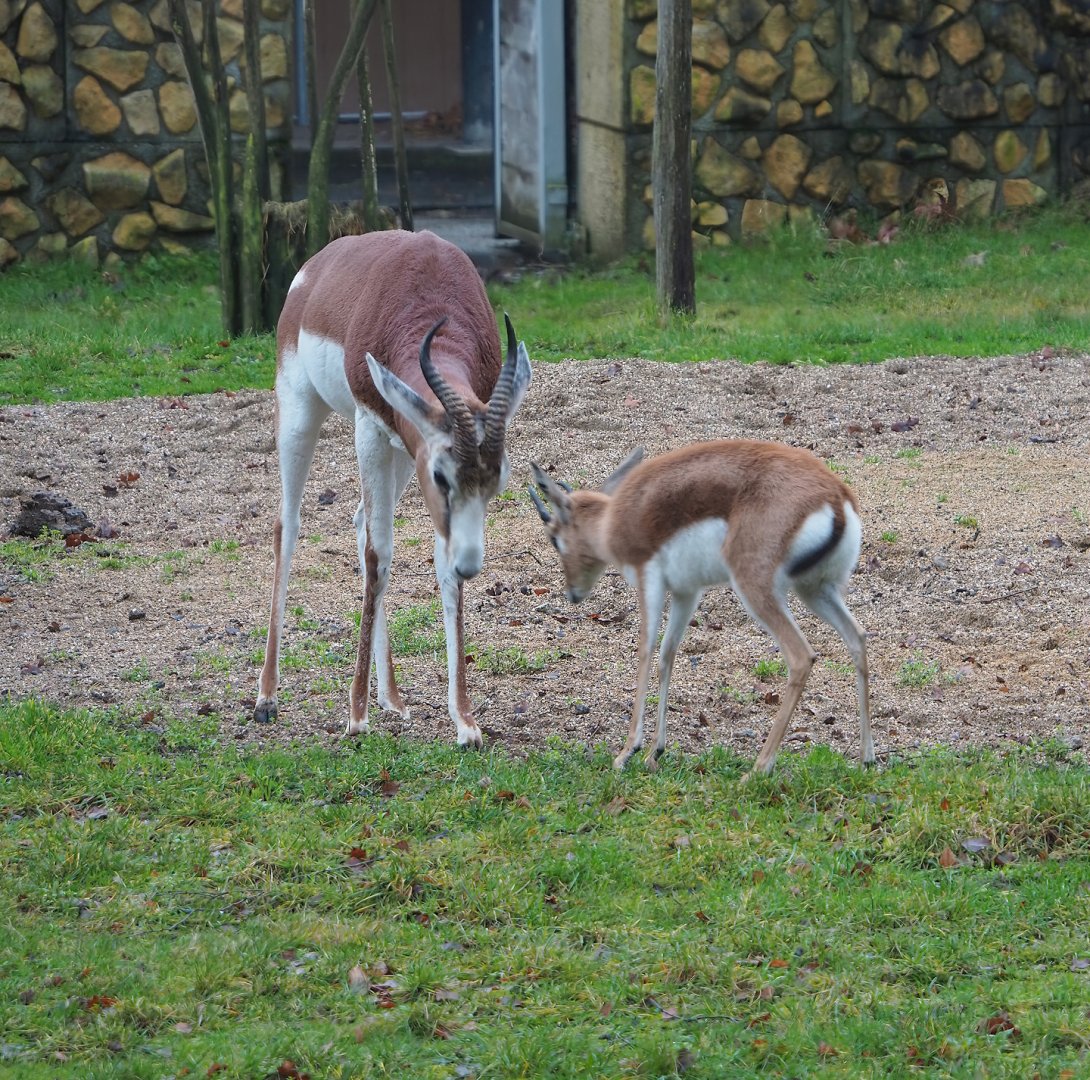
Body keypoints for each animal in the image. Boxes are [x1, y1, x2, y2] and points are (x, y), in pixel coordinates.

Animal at [255, 230, 531, 747]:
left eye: (498, 480)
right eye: (444, 474)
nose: (472, 565)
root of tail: (314, 266)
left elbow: (437, 566)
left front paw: (465, 721)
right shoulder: (369, 428)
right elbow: (378, 555)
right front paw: (356, 716)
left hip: (401, 450)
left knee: (360, 519)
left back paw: (393, 698)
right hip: (302, 412)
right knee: (290, 525)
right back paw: (267, 697)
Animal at [529, 441, 873, 777]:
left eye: (555, 538)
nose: (572, 593)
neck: (614, 520)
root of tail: (835, 496)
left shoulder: (647, 577)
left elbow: (645, 651)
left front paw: (627, 753)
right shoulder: (687, 592)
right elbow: (667, 656)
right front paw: (654, 752)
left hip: (758, 588)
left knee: (801, 657)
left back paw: (758, 769)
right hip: (815, 589)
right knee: (857, 637)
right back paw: (866, 759)